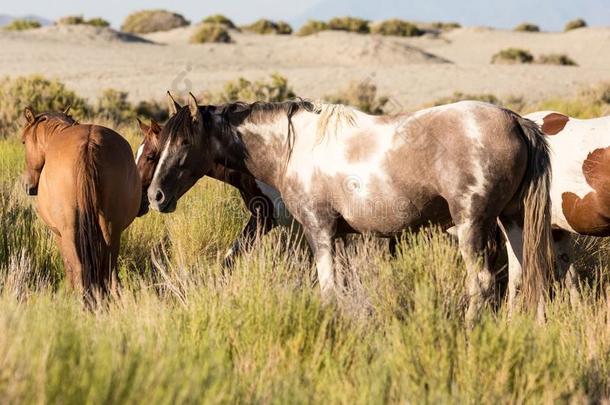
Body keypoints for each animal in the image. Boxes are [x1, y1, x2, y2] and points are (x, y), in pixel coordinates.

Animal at [22, 107, 141, 296]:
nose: (28, 186)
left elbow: (69, 267)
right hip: (111, 230)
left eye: (23, 142)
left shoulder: (58, 234)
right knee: (110, 273)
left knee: (79, 270)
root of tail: (89, 144)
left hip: (69, 231)